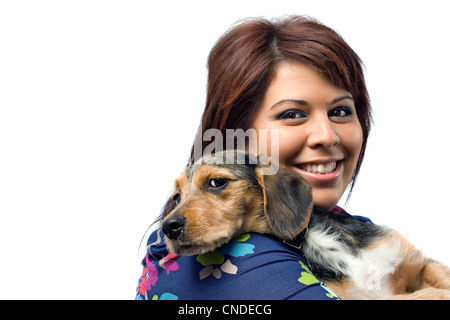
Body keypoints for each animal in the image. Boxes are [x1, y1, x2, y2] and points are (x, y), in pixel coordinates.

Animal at [160, 150, 448, 300]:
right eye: (177, 197)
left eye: (217, 182)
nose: (167, 227)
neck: (312, 235)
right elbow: (426, 296)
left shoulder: (422, 263)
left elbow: (437, 281)